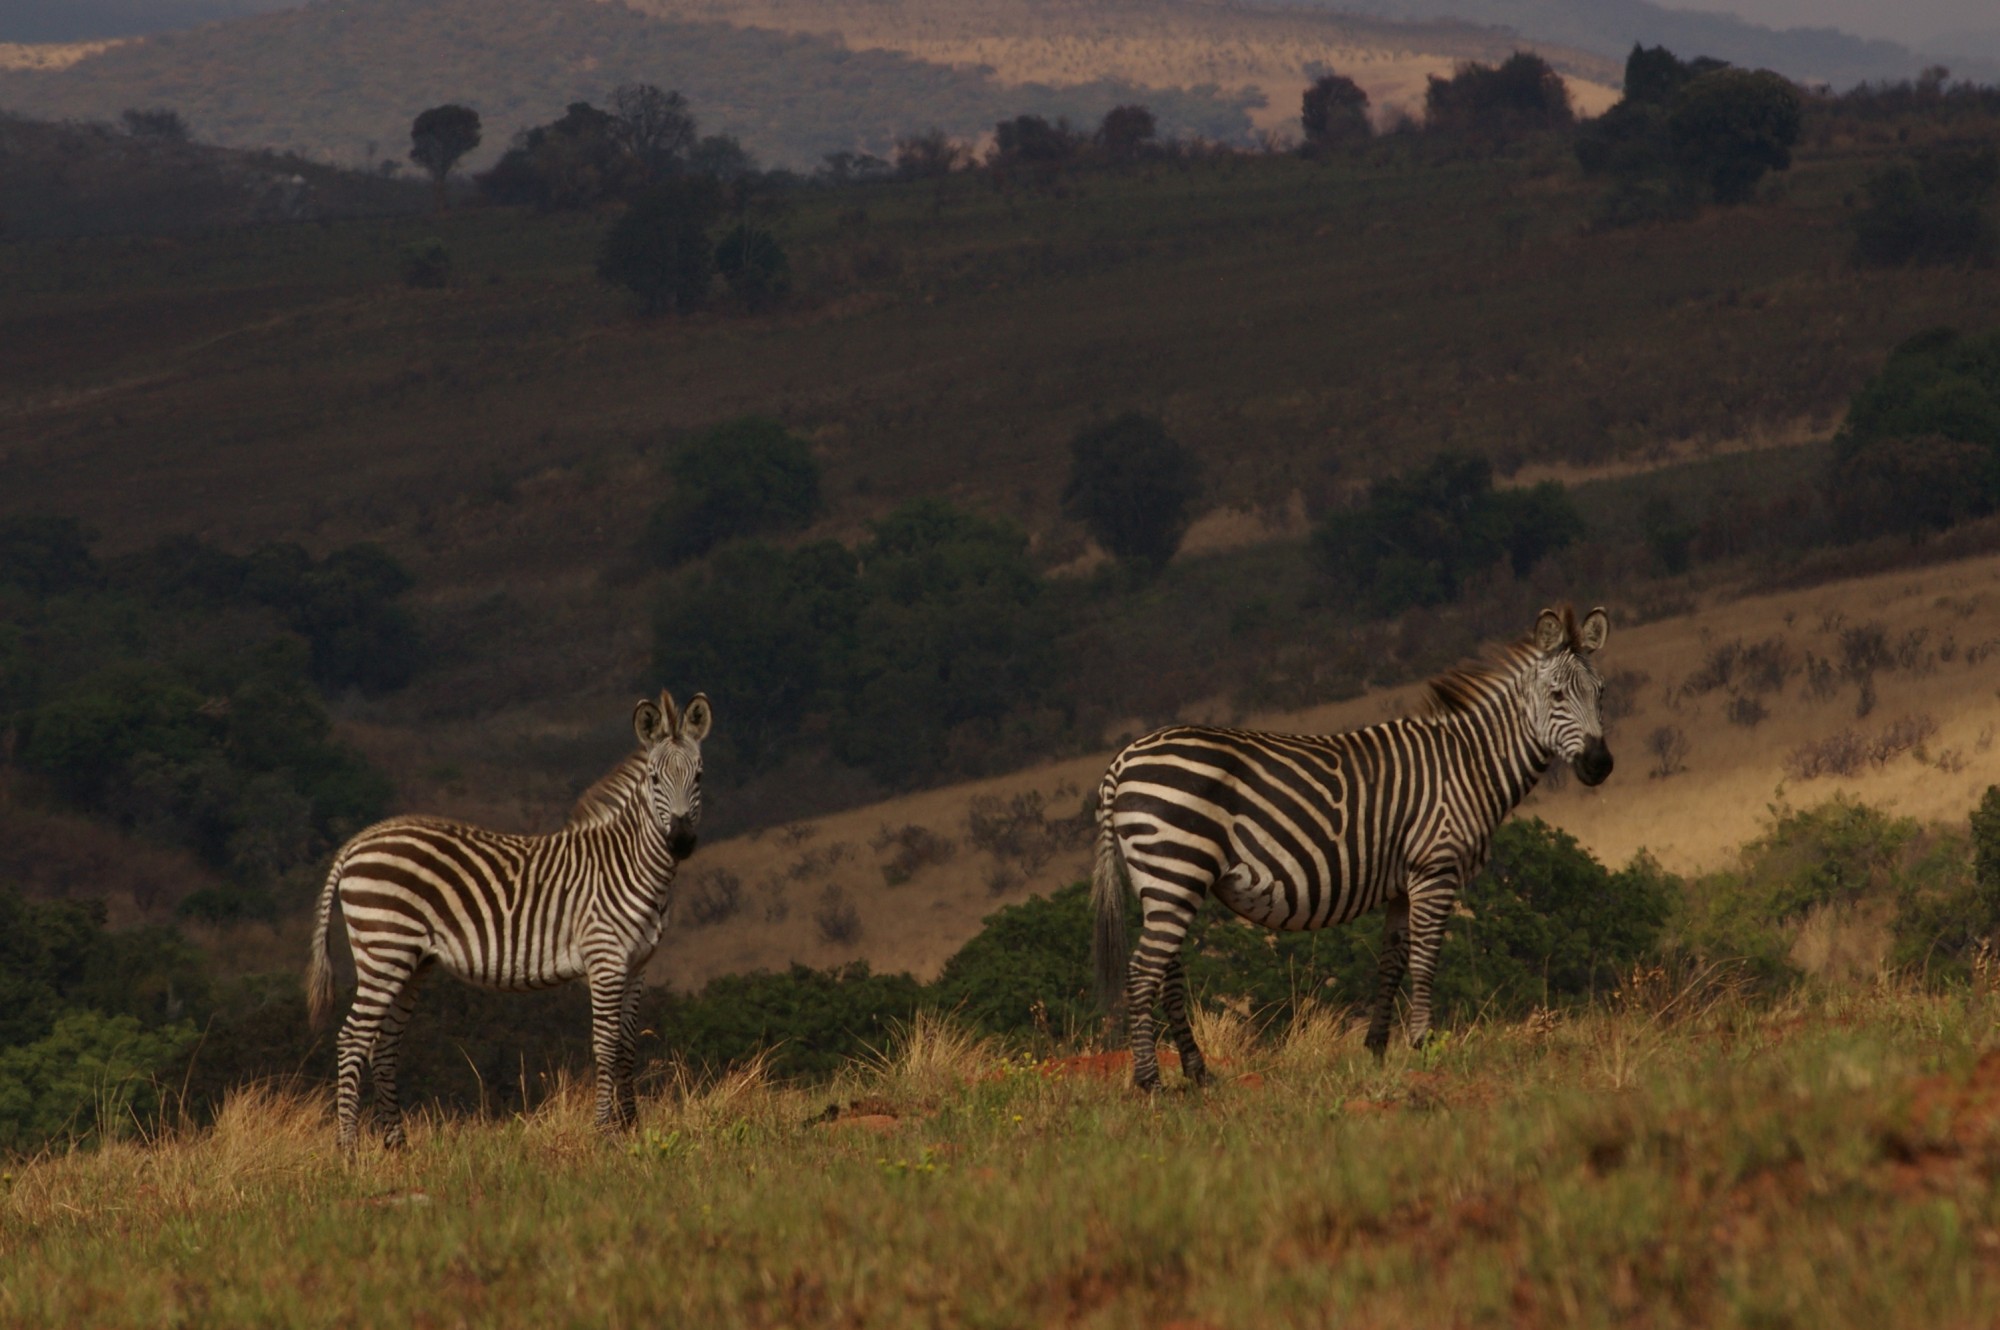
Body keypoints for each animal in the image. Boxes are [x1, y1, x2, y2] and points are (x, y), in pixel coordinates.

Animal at [304, 688, 712, 1144]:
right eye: (655, 780)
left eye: (698, 777)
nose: (681, 841)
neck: (629, 863)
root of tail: (358, 841)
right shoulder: (605, 959)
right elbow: (606, 1047)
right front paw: (605, 1133)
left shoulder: (638, 964)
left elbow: (627, 1048)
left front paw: (630, 1130)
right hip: (384, 951)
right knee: (352, 1040)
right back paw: (349, 1148)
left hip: (410, 962)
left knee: (383, 1046)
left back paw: (397, 1146)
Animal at [1096, 608, 1608, 1088]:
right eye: (1557, 695)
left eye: (1600, 693)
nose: (1600, 764)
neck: (1469, 764)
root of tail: (1124, 759)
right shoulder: (1435, 869)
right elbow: (1425, 961)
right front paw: (1424, 1046)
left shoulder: (1403, 884)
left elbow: (1392, 964)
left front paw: (1378, 1050)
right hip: (1177, 870)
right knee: (1142, 972)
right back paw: (1150, 1081)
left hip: (1162, 879)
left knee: (1166, 974)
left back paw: (1198, 1073)